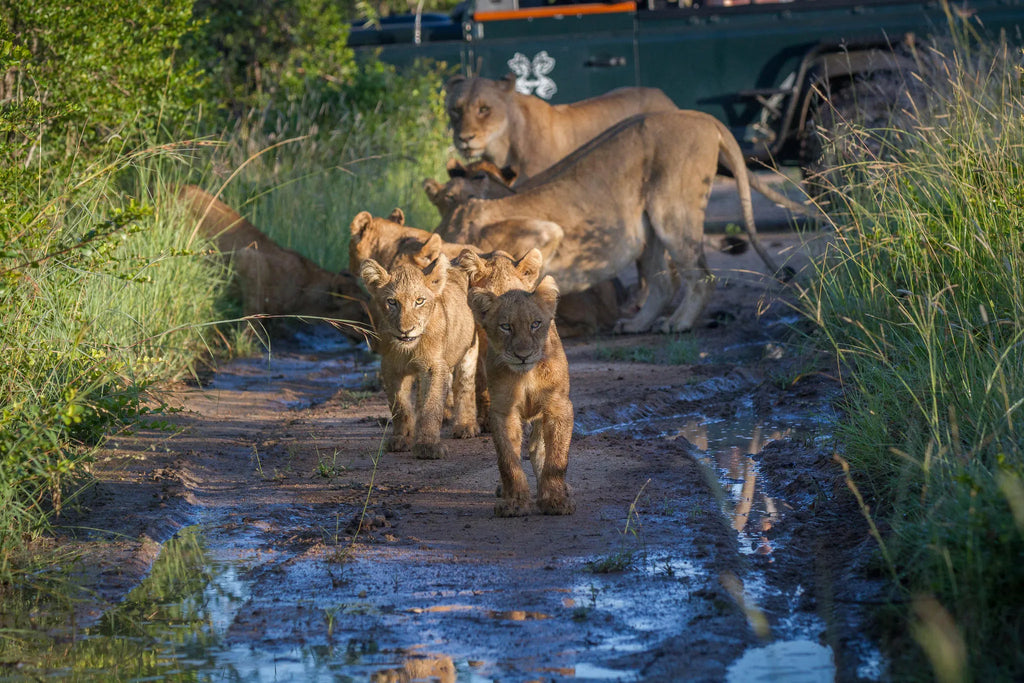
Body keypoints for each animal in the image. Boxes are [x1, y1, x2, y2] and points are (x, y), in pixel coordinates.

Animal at [359, 253, 479, 459]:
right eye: (392, 302)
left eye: (419, 301)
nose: (405, 330)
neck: (410, 348)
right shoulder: (390, 367)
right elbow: (399, 405)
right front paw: (401, 439)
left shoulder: (434, 366)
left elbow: (432, 406)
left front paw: (427, 446)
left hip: (469, 351)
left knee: (465, 386)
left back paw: (466, 426)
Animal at [439, 110, 798, 334]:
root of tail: (703, 118)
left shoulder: (543, 235)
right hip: (648, 227)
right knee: (665, 281)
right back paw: (638, 325)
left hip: (674, 211)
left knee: (700, 276)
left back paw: (677, 323)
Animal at [468, 274, 575, 517]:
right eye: (506, 327)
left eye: (535, 324)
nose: (523, 355)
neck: (526, 375)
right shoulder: (503, 410)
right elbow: (508, 459)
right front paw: (514, 502)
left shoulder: (558, 406)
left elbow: (556, 457)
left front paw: (555, 499)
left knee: (537, 449)